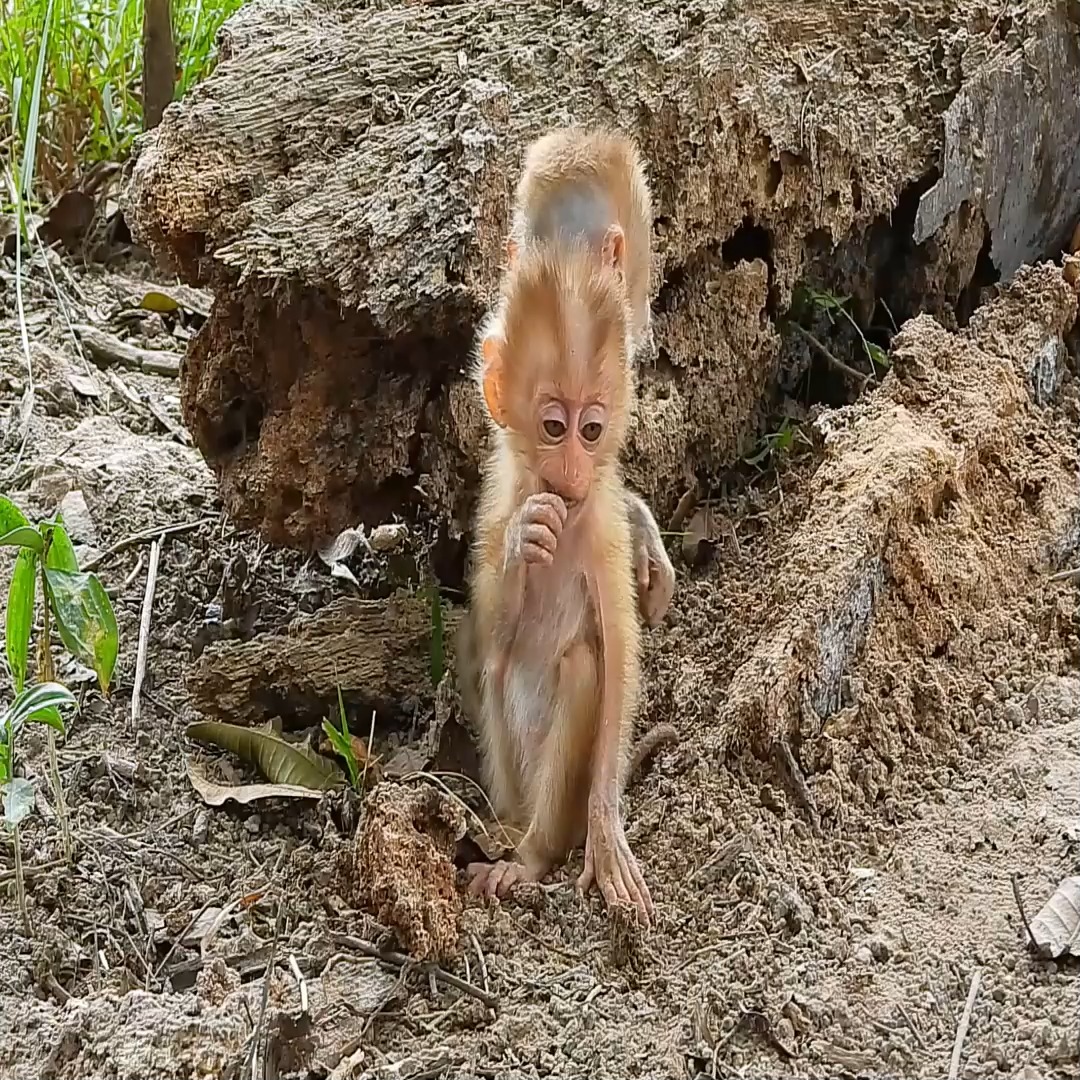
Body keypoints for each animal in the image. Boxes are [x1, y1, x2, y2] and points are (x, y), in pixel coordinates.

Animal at [461, 230, 656, 926]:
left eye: (591, 429)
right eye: (554, 427)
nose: (572, 469)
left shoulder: (601, 523)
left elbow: (619, 657)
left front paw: (607, 830)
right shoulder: (496, 502)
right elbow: (487, 628)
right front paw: (528, 539)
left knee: (580, 665)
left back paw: (533, 857)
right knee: (496, 665)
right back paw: (505, 836)